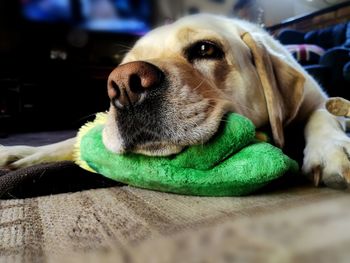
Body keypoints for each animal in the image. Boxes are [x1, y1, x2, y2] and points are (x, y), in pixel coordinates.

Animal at [0, 14, 350, 189]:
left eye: (206, 49)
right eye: (123, 67)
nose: (124, 85)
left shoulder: (317, 98)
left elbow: (323, 114)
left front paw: (331, 149)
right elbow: (68, 141)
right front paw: (19, 154)